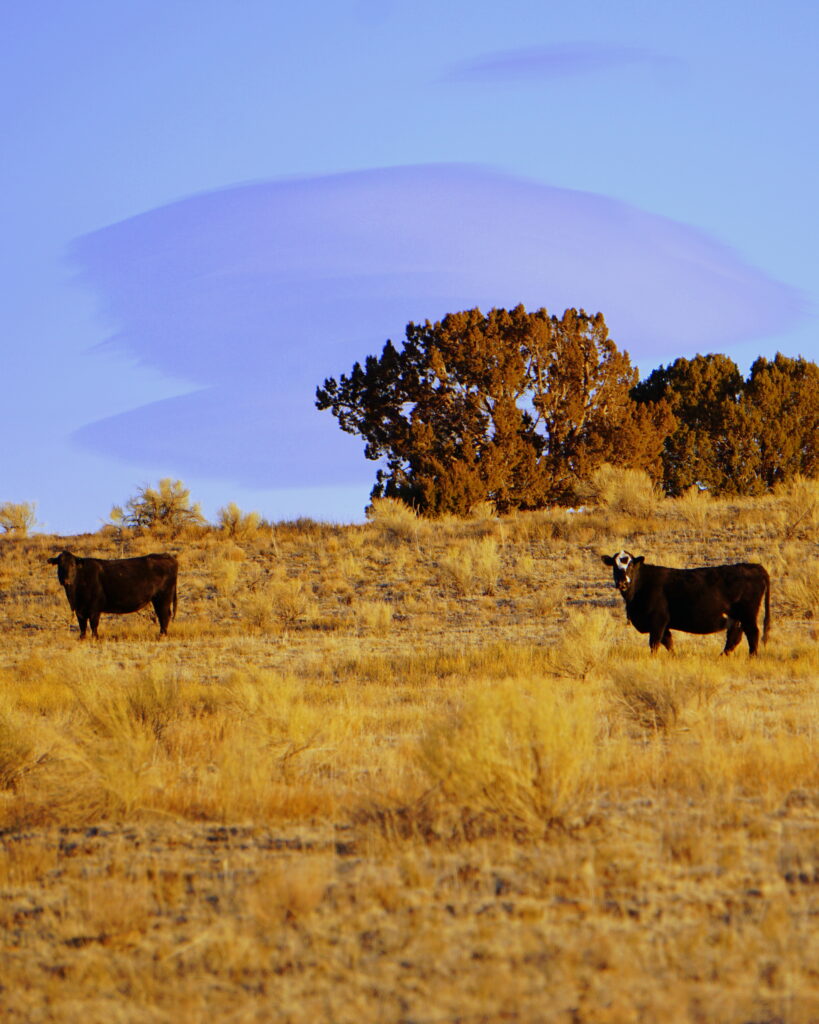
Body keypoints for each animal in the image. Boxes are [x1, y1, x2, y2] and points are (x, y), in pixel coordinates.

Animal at [48, 548, 177, 634]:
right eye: (60, 565)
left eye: (73, 565)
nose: (66, 580)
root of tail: (167, 556)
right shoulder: (80, 609)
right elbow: (82, 625)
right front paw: (82, 638)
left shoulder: (94, 608)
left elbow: (93, 624)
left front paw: (95, 638)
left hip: (163, 597)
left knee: (164, 615)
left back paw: (162, 635)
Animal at [601, 552, 769, 655]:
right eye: (614, 566)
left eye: (630, 565)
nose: (622, 582)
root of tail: (754, 566)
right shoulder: (664, 625)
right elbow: (668, 643)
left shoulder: (657, 620)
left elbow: (654, 644)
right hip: (735, 618)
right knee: (734, 637)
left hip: (748, 614)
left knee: (752, 633)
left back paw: (752, 656)